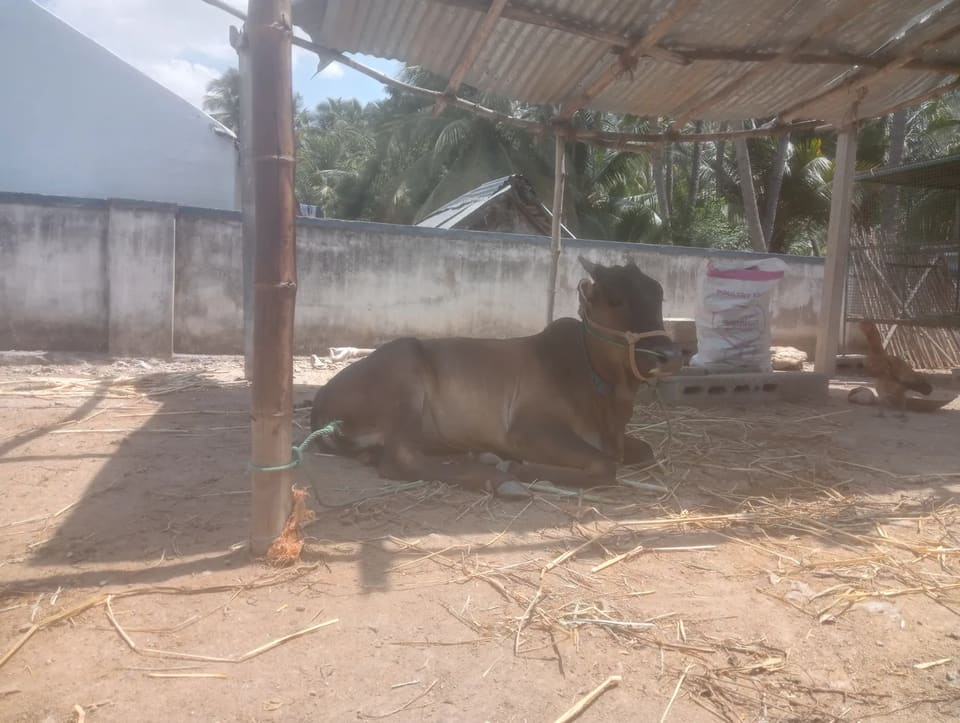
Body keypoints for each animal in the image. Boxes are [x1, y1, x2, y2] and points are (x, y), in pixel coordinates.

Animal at [309, 256, 681, 498]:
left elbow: (645, 450)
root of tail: (321, 401)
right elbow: (605, 466)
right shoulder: (528, 429)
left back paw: (482, 457)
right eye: (615, 299)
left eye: (659, 293)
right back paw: (500, 479)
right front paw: (520, 469)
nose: (670, 356)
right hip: (406, 375)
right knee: (400, 459)